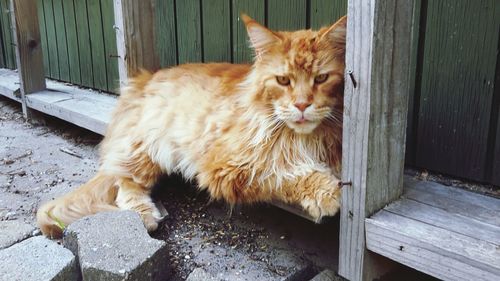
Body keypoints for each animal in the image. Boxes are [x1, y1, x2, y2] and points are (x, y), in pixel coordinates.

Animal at [37, 14, 346, 236]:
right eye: (283, 80)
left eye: (321, 78)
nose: (302, 105)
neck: (305, 138)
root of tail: (143, 80)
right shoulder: (232, 167)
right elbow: (284, 170)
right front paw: (326, 191)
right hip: (146, 149)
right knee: (123, 181)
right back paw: (146, 215)